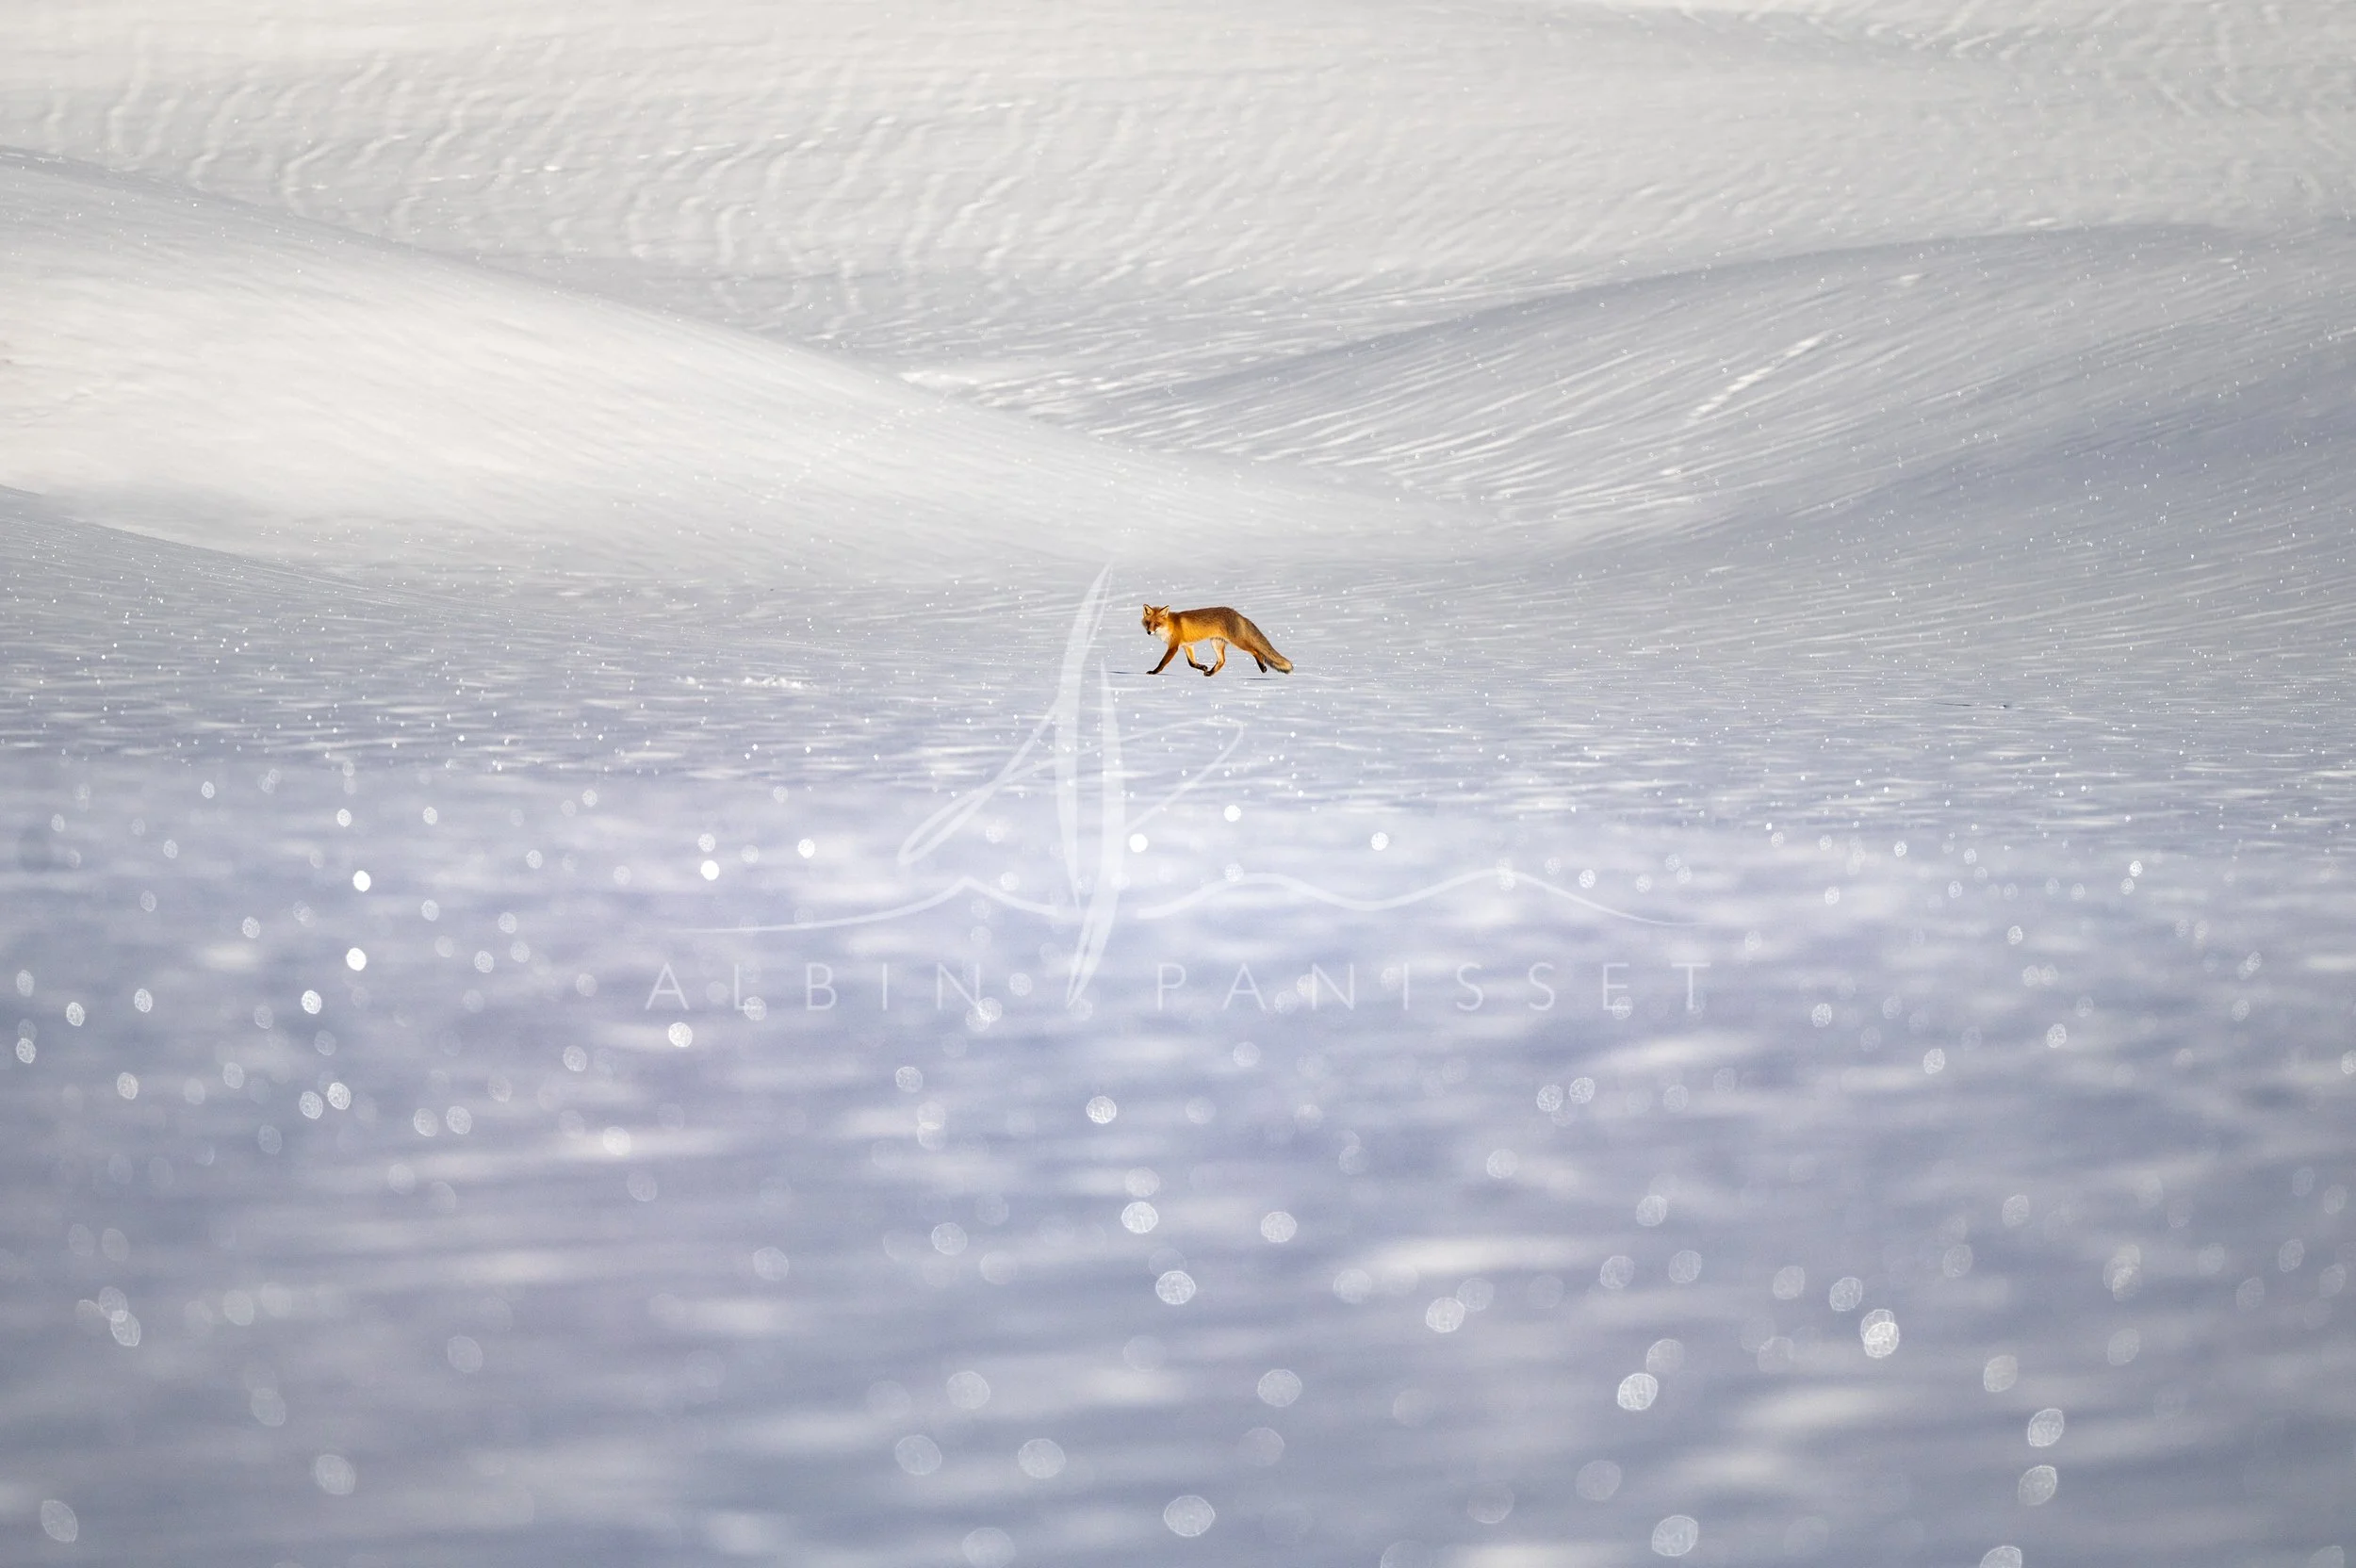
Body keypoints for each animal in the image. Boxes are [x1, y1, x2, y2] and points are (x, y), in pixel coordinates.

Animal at [1141, 604, 1293, 677]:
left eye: (1157, 624)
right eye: (1148, 623)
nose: (1149, 632)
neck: (1171, 625)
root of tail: (1238, 614)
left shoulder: (1174, 646)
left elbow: (1162, 663)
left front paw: (1154, 672)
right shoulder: (1188, 645)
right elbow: (1191, 663)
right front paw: (1203, 667)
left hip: (1238, 642)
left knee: (1256, 651)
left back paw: (1262, 667)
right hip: (1216, 643)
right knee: (1222, 661)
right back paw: (1210, 673)